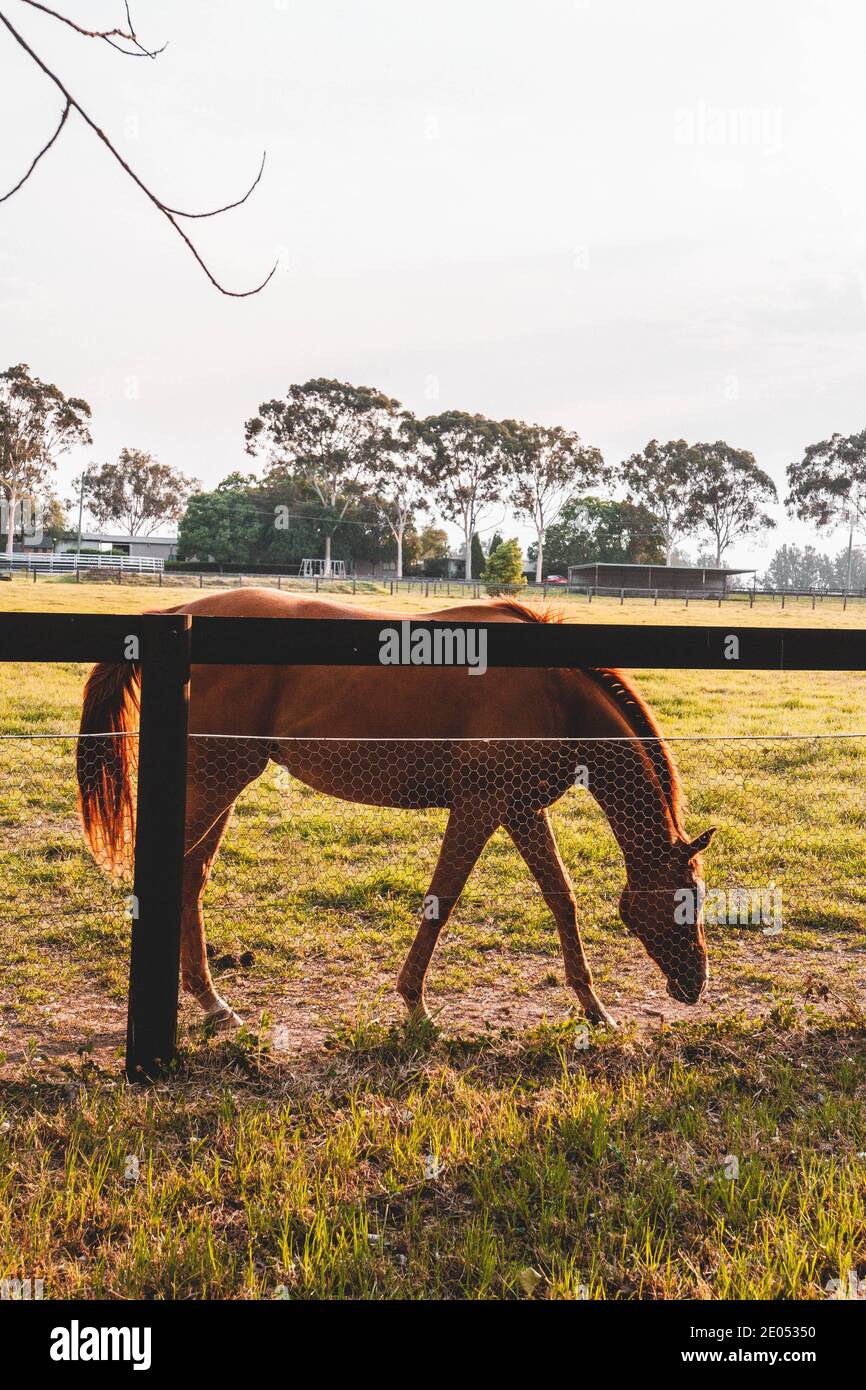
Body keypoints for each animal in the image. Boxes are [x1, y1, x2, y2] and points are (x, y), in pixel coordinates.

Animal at [77, 586, 717, 1034]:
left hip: (219, 785)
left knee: (192, 876)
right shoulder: (482, 806)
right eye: (685, 899)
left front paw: (594, 1008)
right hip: (217, 779)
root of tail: (182, 611)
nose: (695, 983)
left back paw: (212, 1002)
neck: (551, 690)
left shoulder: (520, 810)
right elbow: (444, 898)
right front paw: (414, 1004)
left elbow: (562, 900)